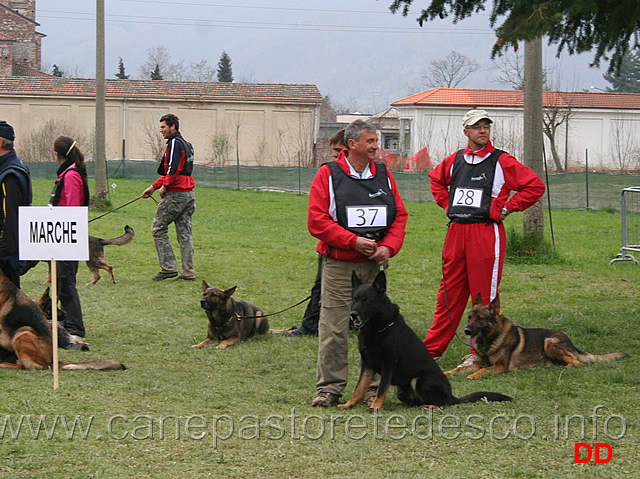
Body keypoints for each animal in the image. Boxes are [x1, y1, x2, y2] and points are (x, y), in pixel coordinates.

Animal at [338, 274, 512, 412]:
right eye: (354, 299)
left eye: (367, 300)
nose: (353, 314)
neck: (377, 328)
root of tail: (452, 396)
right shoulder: (367, 364)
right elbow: (359, 387)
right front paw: (349, 404)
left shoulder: (388, 365)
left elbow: (381, 389)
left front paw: (375, 407)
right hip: (401, 388)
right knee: (416, 401)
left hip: (421, 380)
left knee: (443, 403)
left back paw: (428, 406)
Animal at [442, 294, 628, 380]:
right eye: (469, 317)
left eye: (480, 318)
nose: (466, 330)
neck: (489, 341)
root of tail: (572, 344)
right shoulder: (478, 363)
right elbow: (459, 369)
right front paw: (446, 372)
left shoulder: (500, 367)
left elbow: (484, 369)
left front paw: (474, 375)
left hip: (549, 341)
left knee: (576, 362)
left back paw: (566, 367)